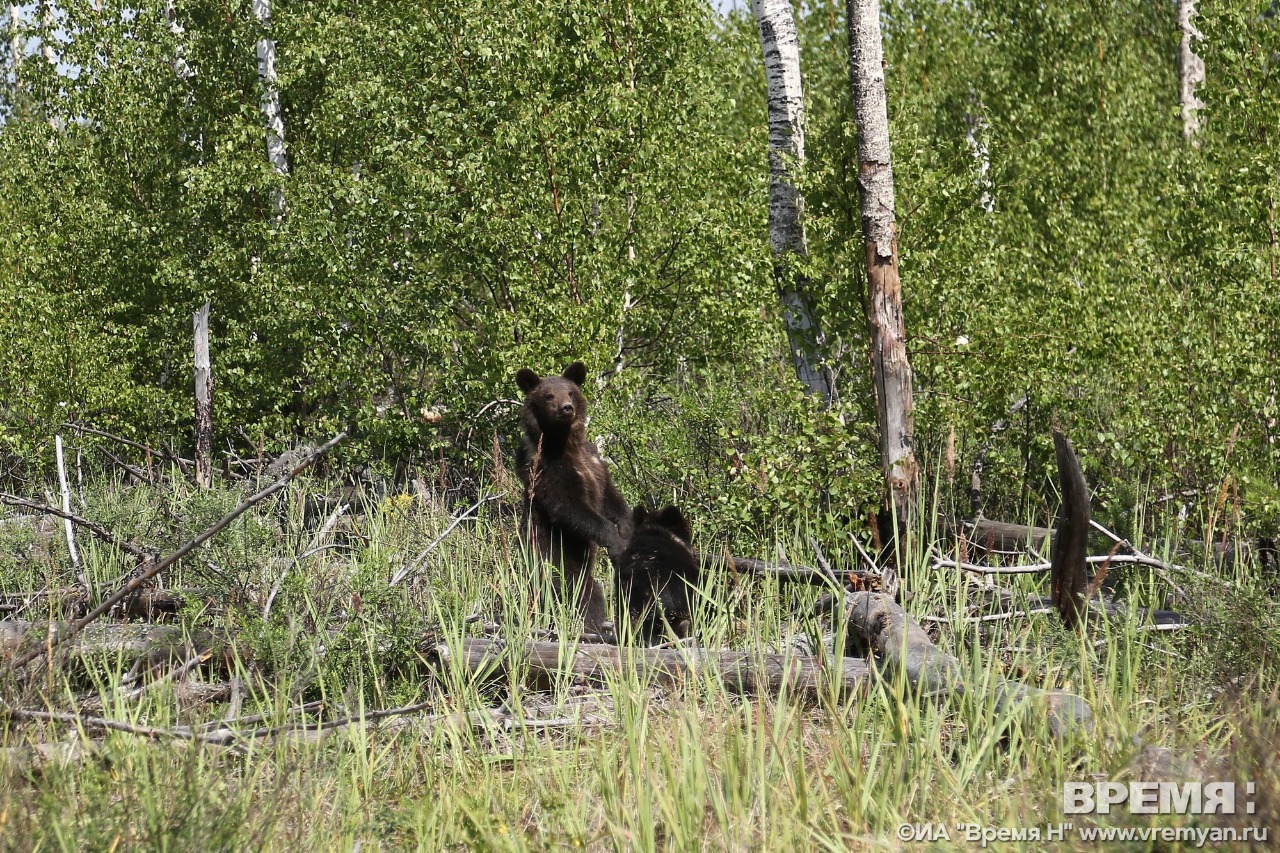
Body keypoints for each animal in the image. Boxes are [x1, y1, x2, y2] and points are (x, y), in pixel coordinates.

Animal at [509, 358, 629, 630]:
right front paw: (615, 543)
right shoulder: (546, 468)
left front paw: (627, 528)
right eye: (548, 396)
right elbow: (569, 506)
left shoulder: (594, 461)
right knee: (584, 592)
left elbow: (610, 497)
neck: (566, 444)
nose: (566, 408)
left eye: (571, 392)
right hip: (557, 562)